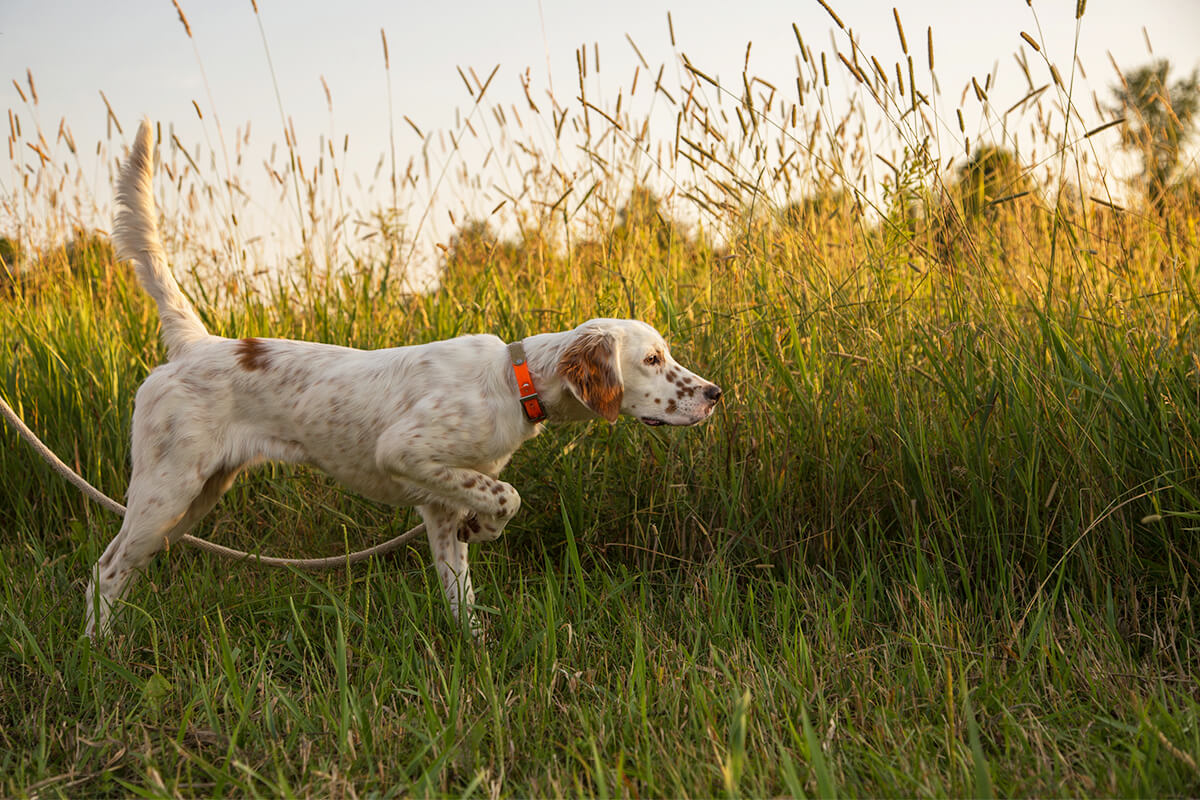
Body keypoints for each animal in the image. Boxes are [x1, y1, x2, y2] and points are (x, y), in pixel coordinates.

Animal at [87, 120, 720, 638]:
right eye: (653, 360)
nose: (715, 395)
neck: (513, 383)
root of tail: (196, 343)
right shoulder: (405, 451)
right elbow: (509, 496)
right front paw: (486, 527)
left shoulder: (439, 505)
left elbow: (462, 591)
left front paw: (476, 646)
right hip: (166, 489)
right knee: (105, 567)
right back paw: (99, 652)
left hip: (191, 500)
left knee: (123, 565)